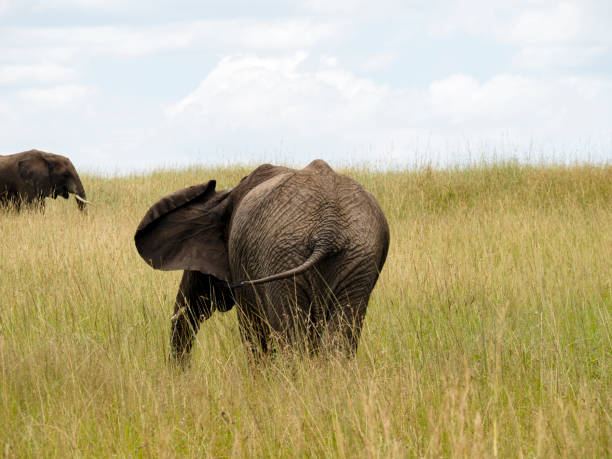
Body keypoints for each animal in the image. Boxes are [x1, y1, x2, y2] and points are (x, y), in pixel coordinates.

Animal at [136, 160, 390, 364]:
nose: (180, 373)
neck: (226, 198)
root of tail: (327, 229)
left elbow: (252, 332)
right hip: (355, 257)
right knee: (339, 338)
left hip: (286, 255)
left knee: (291, 337)